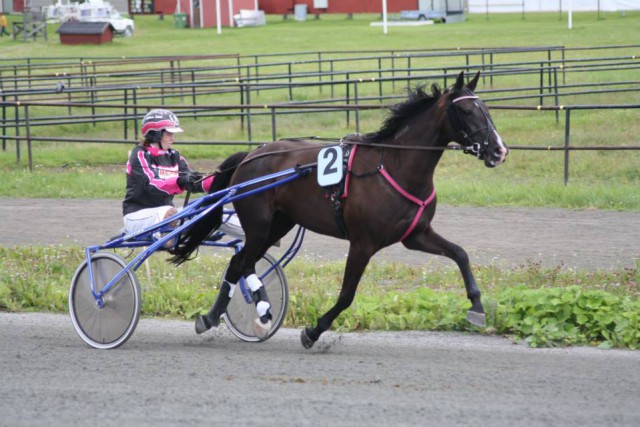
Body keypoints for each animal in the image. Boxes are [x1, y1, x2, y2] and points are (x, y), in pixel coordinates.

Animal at [171, 72, 510, 350]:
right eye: (467, 111)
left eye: (486, 108)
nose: (499, 150)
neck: (395, 166)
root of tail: (252, 154)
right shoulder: (363, 243)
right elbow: (347, 294)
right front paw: (313, 331)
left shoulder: (416, 234)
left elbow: (460, 254)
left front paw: (477, 308)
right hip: (258, 224)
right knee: (240, 263)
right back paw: (235, 315)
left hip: (278, 224)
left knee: (241, 263)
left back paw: (238, 314)